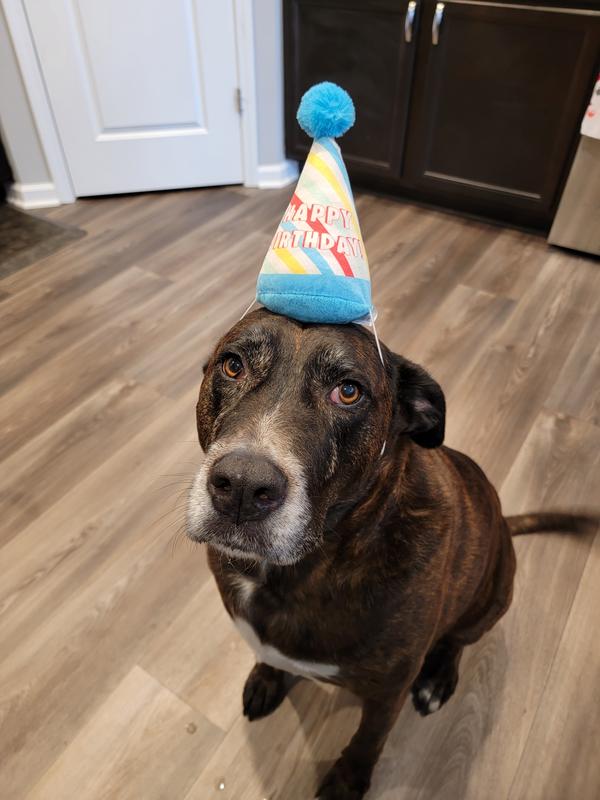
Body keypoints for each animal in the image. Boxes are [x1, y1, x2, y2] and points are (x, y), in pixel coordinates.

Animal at [188, 308, 596, 800]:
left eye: (348, 391)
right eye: (233, 365)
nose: (243, 488)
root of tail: (503, 521)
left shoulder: (388, 690)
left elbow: (369, 738)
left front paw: (347, 782)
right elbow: (268, 655)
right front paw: (267, 679)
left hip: (494, 595)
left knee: (457, 640)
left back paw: (438, 679)